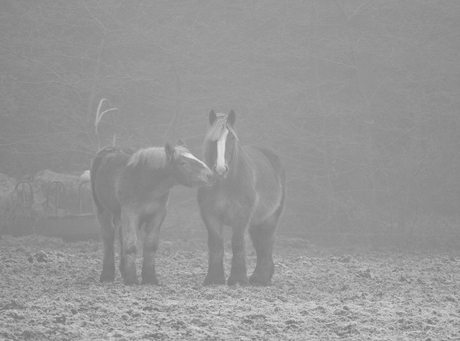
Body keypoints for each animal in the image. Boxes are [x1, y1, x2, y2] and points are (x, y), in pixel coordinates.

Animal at [90, 141, 215, 284]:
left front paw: (149, 277)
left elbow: (150, 245)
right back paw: (107, 274)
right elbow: (131, 245)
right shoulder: (130, 213)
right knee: (108, 237)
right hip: (103, 210)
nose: (210, 175)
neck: (145, 181)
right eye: (182, 163)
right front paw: (131, 278)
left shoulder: (157, 215)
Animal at [197, 109, 286, 284]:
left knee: (266, 242)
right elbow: (215, 243)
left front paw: (238, 279)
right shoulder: (210, 215)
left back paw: (260, 278)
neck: (225, 184)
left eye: (231, 138)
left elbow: (238, 243)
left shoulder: (241, 215)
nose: (220, 169)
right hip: (256, 221)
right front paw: (214, 278)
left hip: (271, 217)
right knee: (260, 244)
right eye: (213, 140)